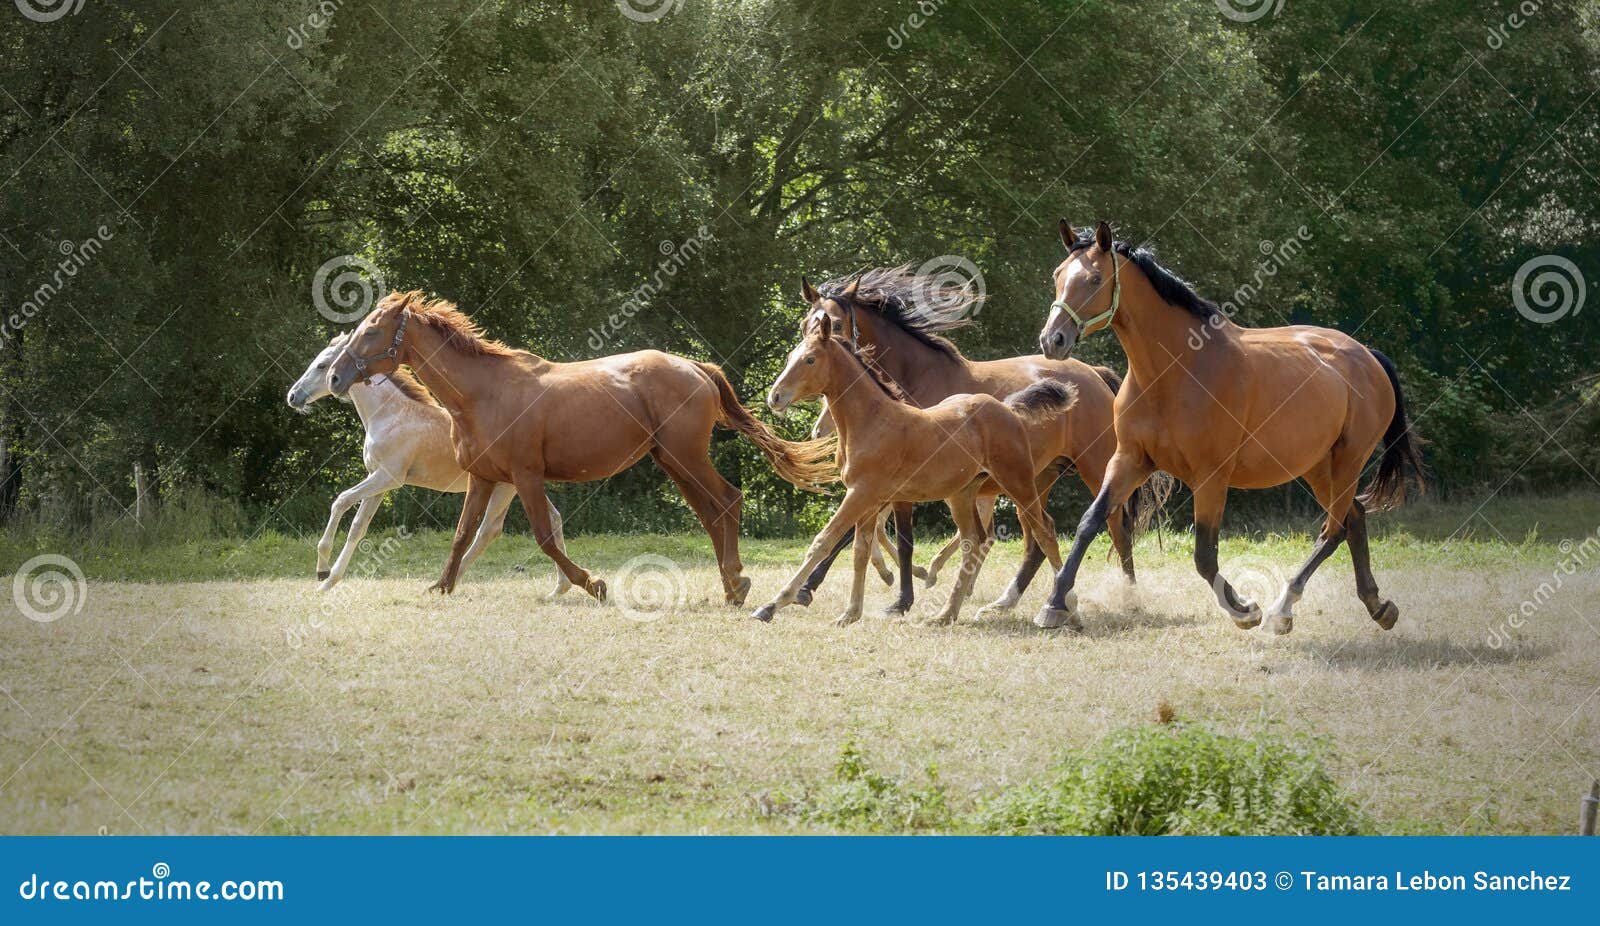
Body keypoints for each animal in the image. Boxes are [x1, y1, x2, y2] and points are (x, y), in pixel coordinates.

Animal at [289, 337, 576, 598]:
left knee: (488, 530)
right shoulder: (378, 481)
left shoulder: (388, 478)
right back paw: (559, 589)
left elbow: (341, 501)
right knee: (552, 519)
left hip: (506, 487)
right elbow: (358, 527)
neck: (391, 415)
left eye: (322, 365)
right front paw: (329, 580)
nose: (293, 396)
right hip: (516, 486)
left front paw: (322, 573)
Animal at [320, 294, 832, 604]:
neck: (484, 393)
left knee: (727, 500)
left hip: (687, 456)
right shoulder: (484, 477)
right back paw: (731, 583)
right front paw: (442, 585)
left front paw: (593, 584)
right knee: (711, 512)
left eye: (370, 332)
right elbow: (463, 534)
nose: (336, 378)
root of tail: (695, 367)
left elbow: (546, 538)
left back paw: (736, 583)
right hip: (672, 461)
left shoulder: (526, 477)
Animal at [755, 283, 1068, 626]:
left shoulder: (862, 493)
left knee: (1043, 532)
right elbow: (861, 549)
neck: (872, 419)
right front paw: (851, 612)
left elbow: (825, 541)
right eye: (791, 354)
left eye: (810, 359)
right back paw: (946, 613)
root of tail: (1008, 408)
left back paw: (1063, 608)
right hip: (963, 494)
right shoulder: (871, 498)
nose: (775, 396)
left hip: (1019, 483)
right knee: (975, 540)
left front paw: (774, 603)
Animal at [793, 267, 1171, 617]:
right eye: (803, 325)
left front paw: (897, 600)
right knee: (1037, 540)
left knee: (1117, 530)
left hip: (1094, 468)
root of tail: (1095, 375)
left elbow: (896, 540)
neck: (913, 384)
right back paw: (1006, 601)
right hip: (1036, 479)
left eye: (834, 324)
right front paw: (812, 588)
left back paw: (1127, 597)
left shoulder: (892, 484)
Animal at [1036, 220, 1427, 633]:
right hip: (1320, 469)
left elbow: (1204, 555)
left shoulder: (1211, 476)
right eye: (1058, 275)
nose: (1052, 339)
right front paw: (1054, 603)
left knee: (1333, 530)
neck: (1175, 370)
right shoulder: (1129, 461)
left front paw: (1243, 609)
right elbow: (1090, 521)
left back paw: (1282, 609)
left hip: (1348, 461)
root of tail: (1368, 356)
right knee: (1353, 519)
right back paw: (1378, 606)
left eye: (1095, 279)